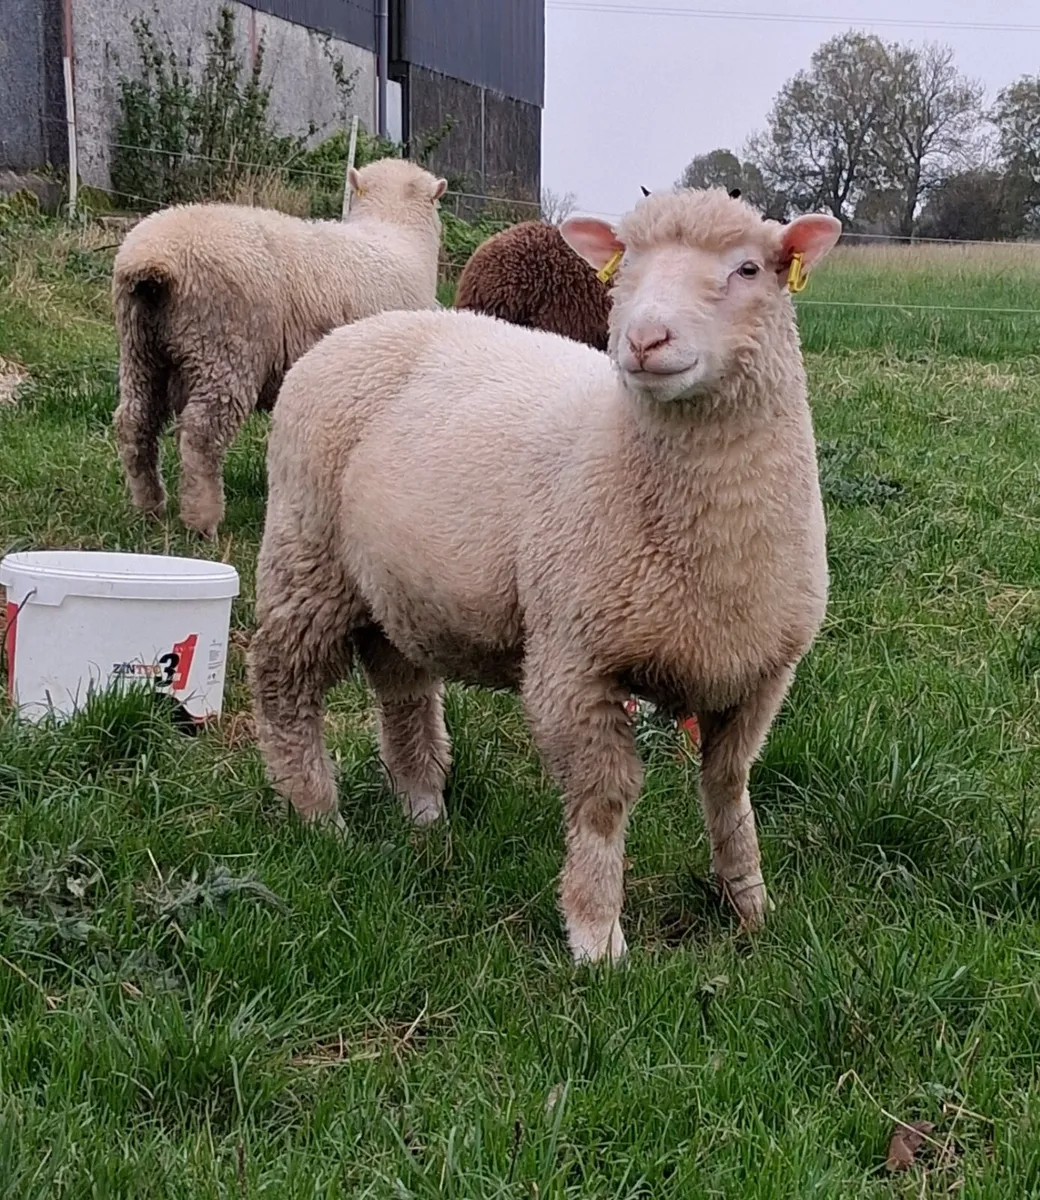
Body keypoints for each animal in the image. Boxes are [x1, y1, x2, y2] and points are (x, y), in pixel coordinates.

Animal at [111, 157, 447, 539]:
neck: (394, 229)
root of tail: (154, 261)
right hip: (223, 350)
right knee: (200, 435)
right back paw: (202, 520)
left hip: (140, 350)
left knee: (135, 421)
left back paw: (149, 507)